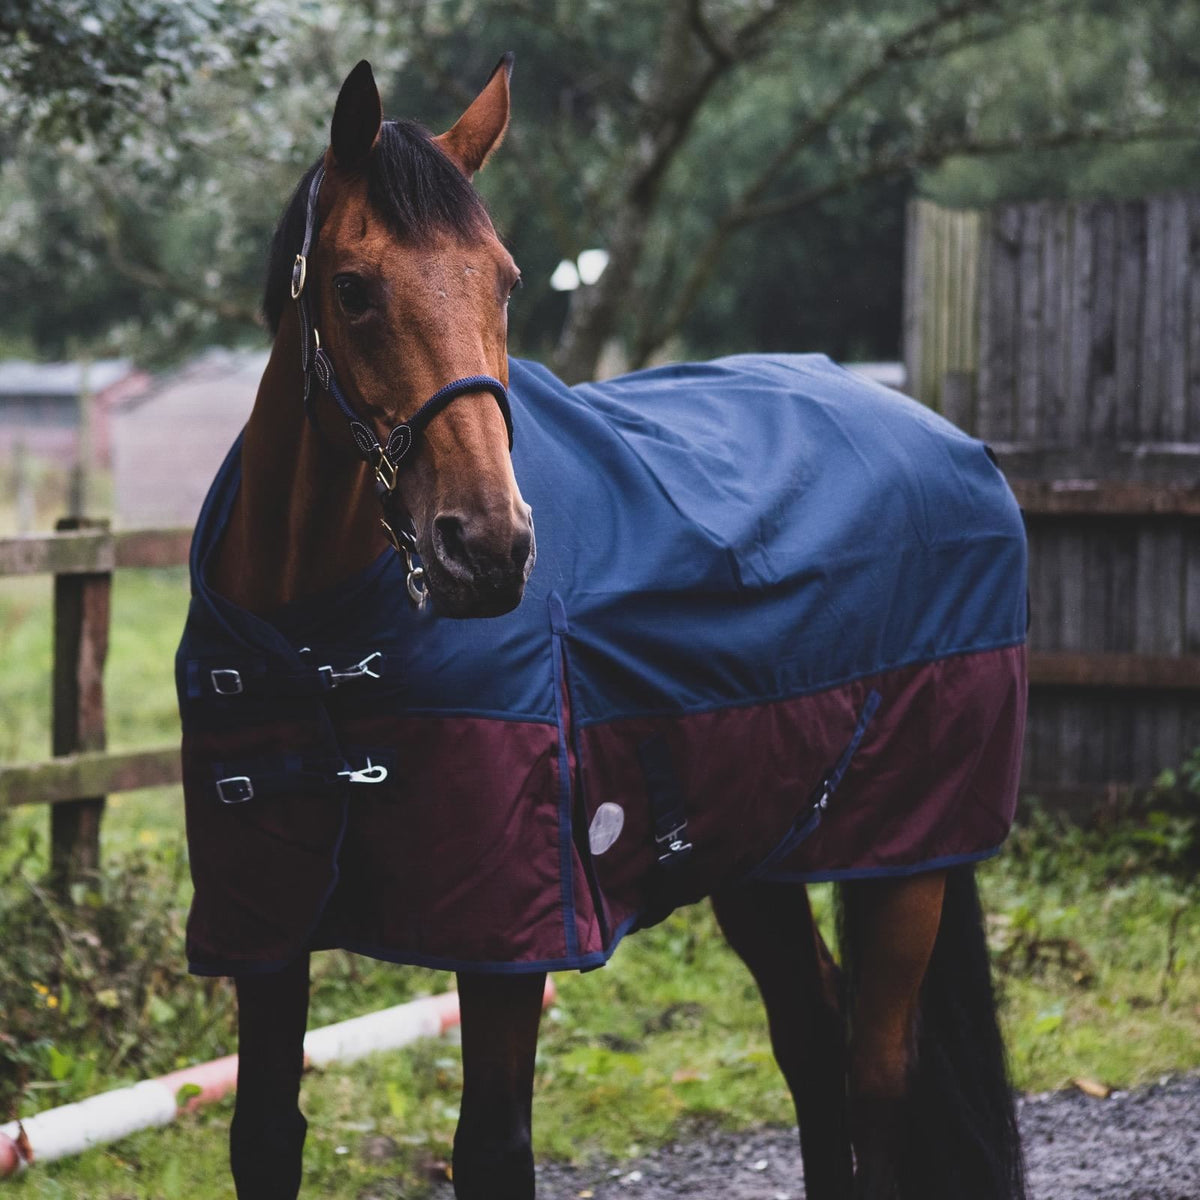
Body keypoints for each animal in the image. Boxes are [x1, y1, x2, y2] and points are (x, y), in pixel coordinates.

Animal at [177, 57, 1029, 1200]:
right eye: (351, 289)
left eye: (504, 281)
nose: (487, 548)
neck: (315, 638)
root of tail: (948, 437)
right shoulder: (263, 929)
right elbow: (265, 1136)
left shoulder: (510, 938)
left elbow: (492, 1149)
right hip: (755, 851)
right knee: (812, 1035)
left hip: (908, 863)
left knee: (879, 1074)